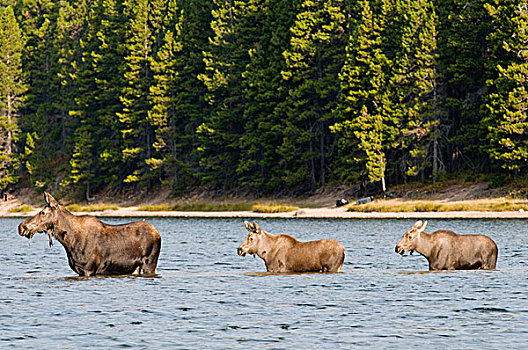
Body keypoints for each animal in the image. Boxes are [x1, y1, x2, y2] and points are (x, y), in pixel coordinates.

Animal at [18, 191, 161, 276]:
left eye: (42, 212)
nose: (22, 226)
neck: (69, 242)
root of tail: (157, 233)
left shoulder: (89, 269)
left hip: (149, 263)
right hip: (135, 267)